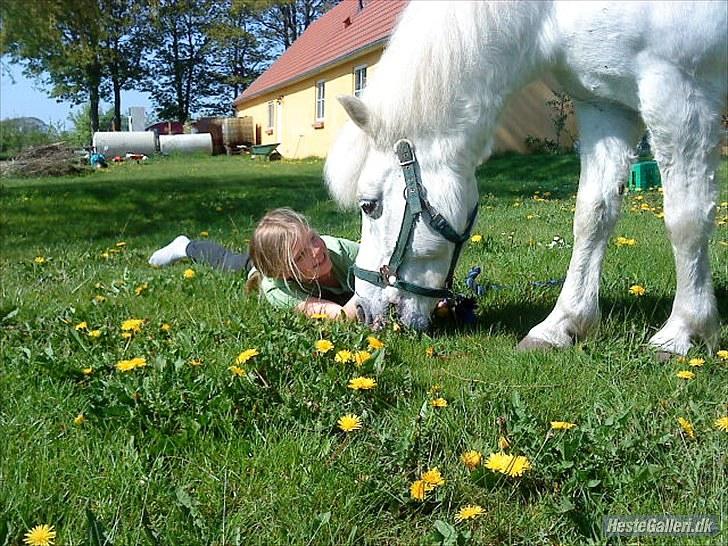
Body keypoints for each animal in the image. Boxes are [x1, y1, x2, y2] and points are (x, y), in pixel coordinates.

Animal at [328, 0, 724, 352]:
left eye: (369, 205)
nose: (361, 311)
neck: (552, 12)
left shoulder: (679, 92)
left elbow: (686, 219)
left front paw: (683, 330)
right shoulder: (606, 107)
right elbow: (592, 217)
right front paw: (561, 325)